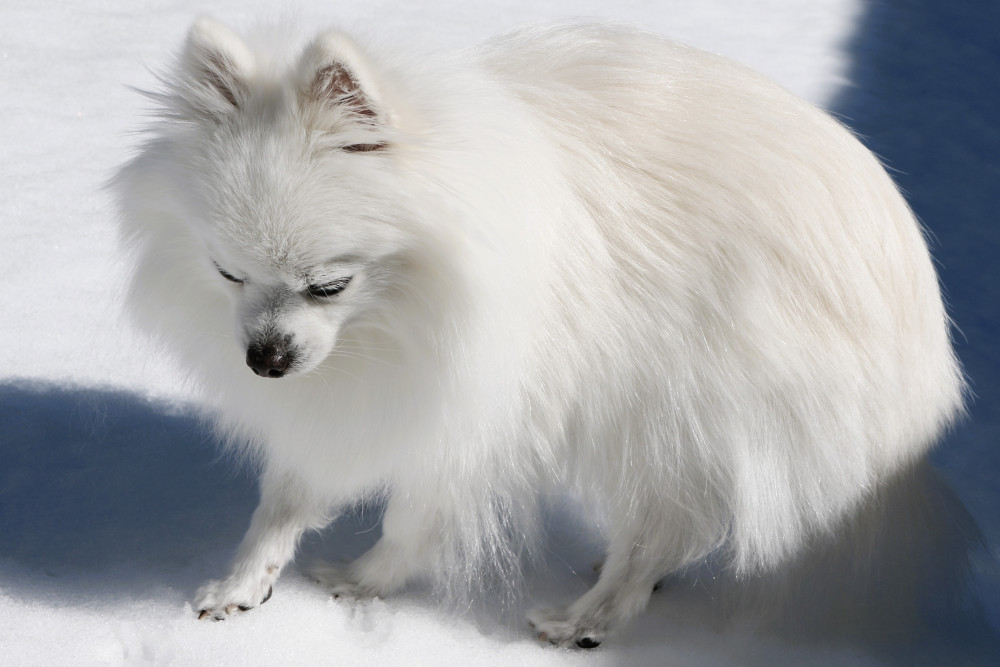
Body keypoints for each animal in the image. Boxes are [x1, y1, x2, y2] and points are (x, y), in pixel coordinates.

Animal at [113, 19, 964, 648]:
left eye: (329, 284)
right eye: (228, 273)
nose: (266, 360)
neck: (403, 307)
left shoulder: (478, 407)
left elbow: (415, 513)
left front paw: (365, 582)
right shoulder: (356, 401)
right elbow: (284, 500)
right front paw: (241, 584)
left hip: (665, 409)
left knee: (662, 525)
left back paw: (591, 615)